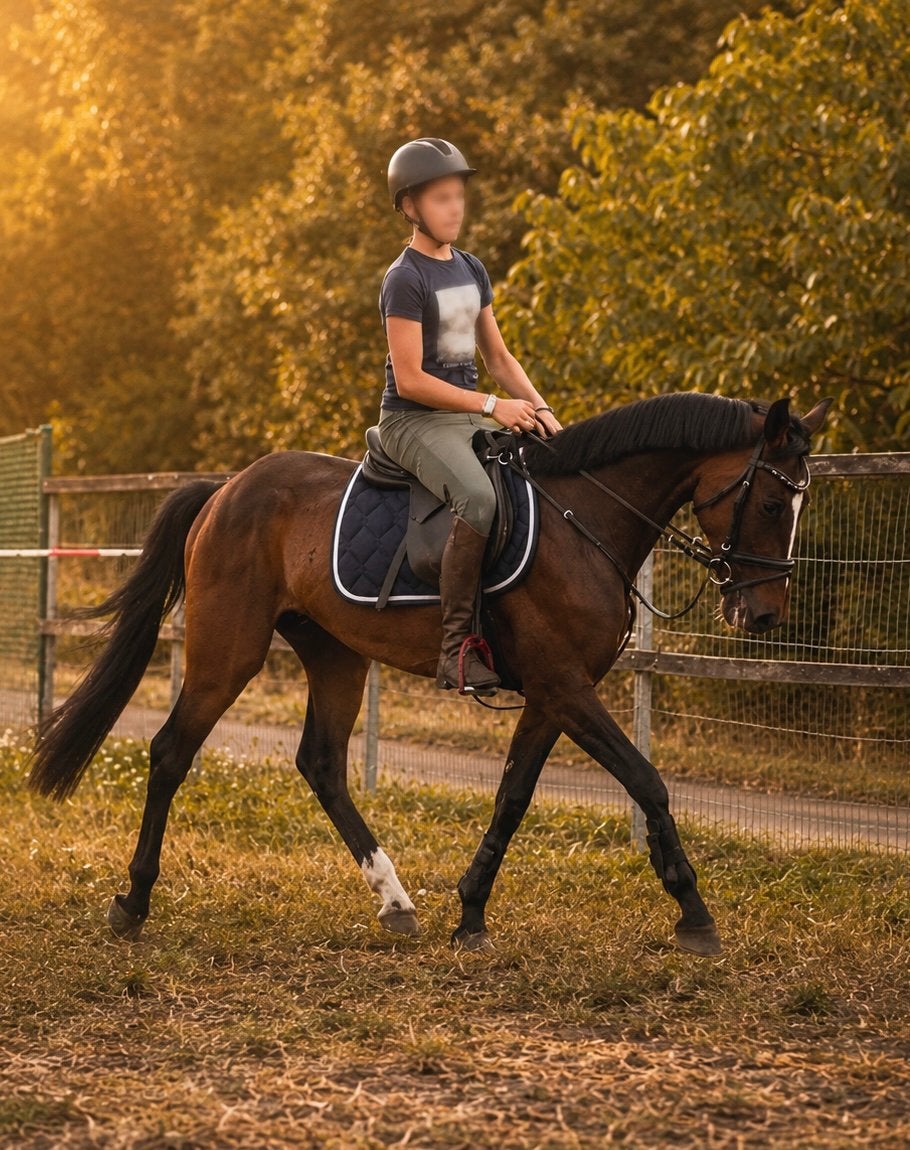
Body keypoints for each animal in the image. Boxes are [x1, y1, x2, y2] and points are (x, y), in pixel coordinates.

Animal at [28, 392, 831, 957]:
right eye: (769, 501)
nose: (763, 614)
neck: (584, 521)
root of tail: (227, 489)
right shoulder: (568, 689)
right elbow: (646, 780)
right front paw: (694, 912)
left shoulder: (551, 696)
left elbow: (512, 798)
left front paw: (470, 912)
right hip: (229, 651)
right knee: (171, 752)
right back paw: (133, 904)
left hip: (335, 653)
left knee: (322, 764)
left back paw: (396, 903)